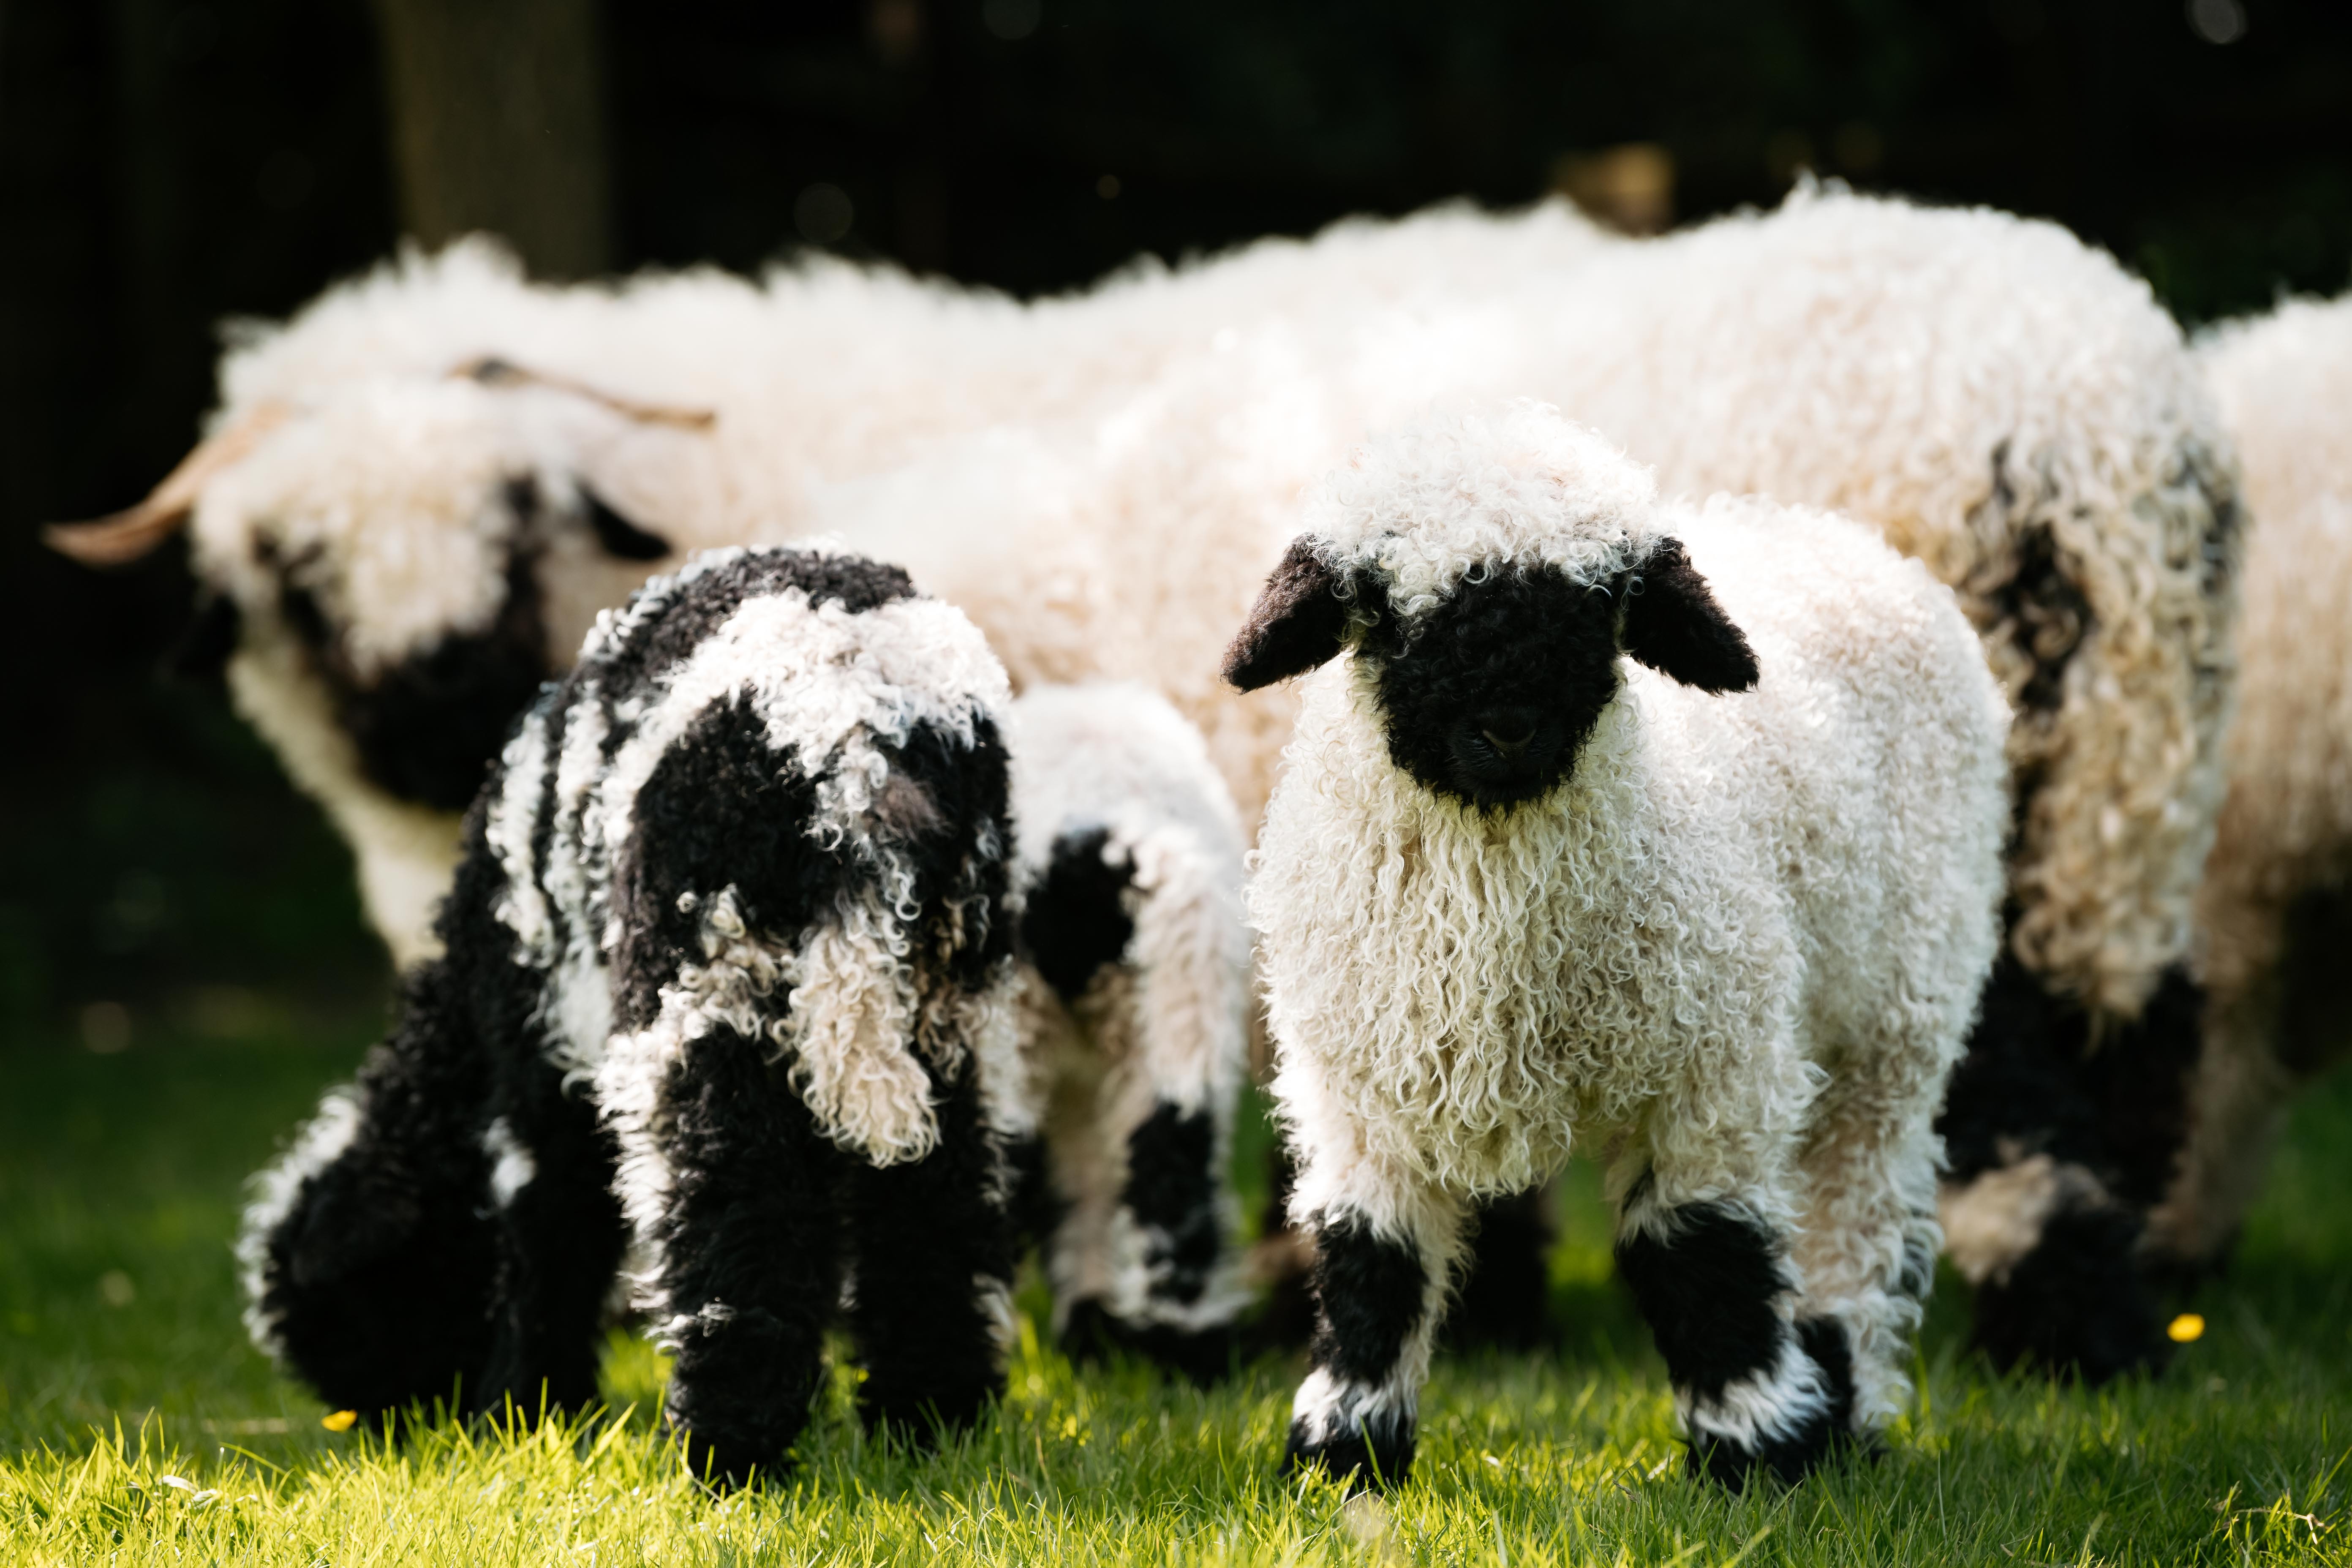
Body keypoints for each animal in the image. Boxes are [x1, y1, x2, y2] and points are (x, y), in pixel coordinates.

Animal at [239, 545, 1027, 1485]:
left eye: (345, 1316)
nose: (369, 1424)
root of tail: (848, 731)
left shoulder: (538, 1053)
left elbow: (548, 1218)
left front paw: (523, 1407)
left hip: (703, 976)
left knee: (737, 1197)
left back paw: (725, 1449)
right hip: (947, 991)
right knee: (937, 1201)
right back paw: (931, 1418)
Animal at [1231, 405, 2010, 1489]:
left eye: (1605, 605)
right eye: (1381, 611)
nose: (1509, 727)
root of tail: (1848, 540)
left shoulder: (1712, 1070)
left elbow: (1706, 1251)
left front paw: (1755, 1448)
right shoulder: (1360, 1092)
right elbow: (1370, 1260)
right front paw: (1344, 1452)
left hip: (1896, 1016)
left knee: (1854, 1218)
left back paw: (1843, 1405)